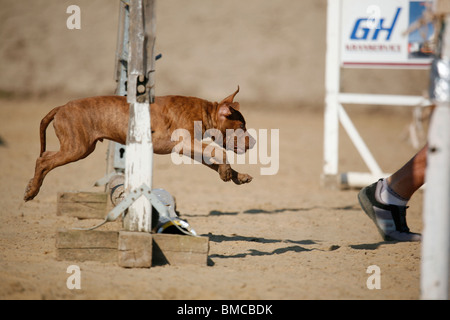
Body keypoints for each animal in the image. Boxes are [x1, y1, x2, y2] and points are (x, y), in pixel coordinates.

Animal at [24, 87, 255, 201]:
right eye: (242, 126)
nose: (253, 141)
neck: (204, 111)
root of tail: (61, 107)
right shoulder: (185, 144)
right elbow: (220, 153)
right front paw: (227, 172)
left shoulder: (190, 148)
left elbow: (214, 160)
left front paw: (236, 175)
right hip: (77, 148)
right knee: (43, 160)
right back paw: (32, 190)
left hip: (76, 147)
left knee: (44, 158)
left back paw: (31, 185)